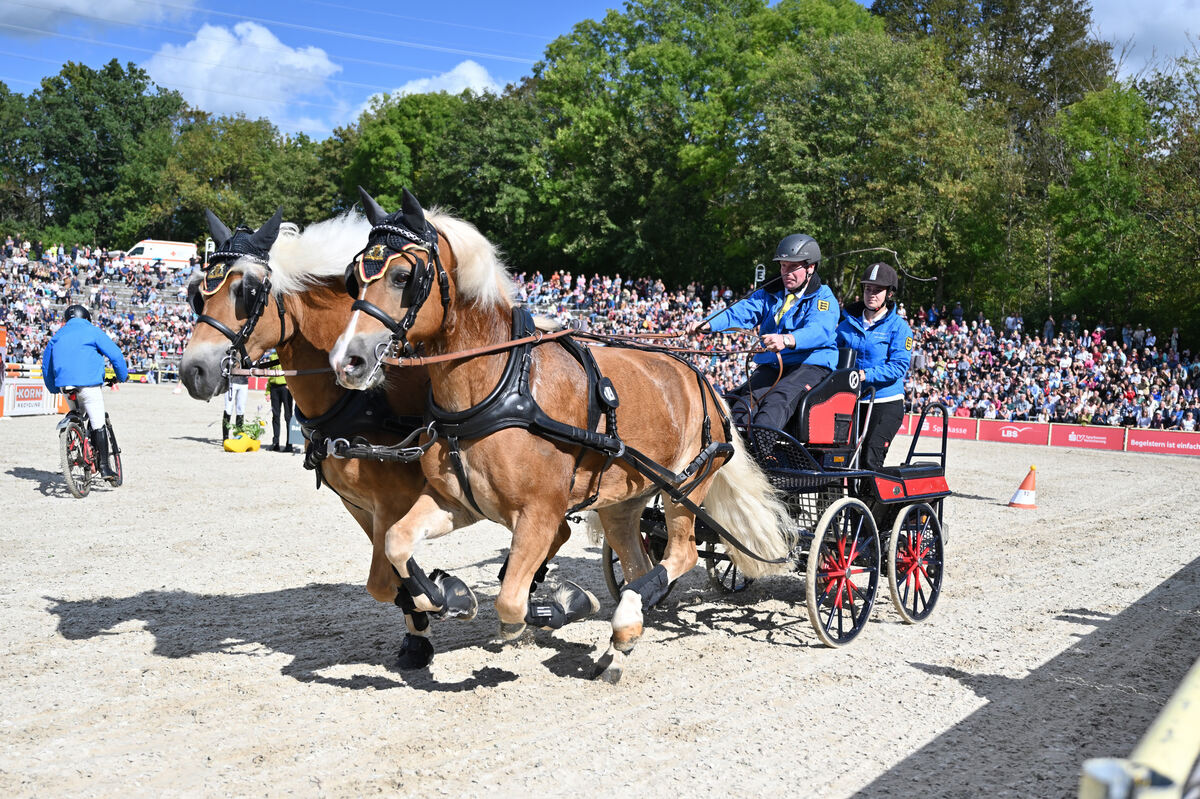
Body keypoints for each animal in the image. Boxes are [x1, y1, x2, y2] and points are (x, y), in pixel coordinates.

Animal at [178, 209, 571, 667]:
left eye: (247, 291)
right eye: (199, 294)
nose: (193, 371)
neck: (366, 398)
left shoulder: (393, 503)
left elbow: (384, 578)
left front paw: (448, 597)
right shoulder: (361, 507)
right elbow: (390, 579)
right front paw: (420, 630)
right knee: (558, 534)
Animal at [333, 188, 792, 676]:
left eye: (403, 276)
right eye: (352, 279)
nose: (347, 361)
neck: (501, 384)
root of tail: (704, 379)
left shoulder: (540, 512)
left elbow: (511, 601)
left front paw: (564, 605)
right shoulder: (456, 502)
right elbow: (398, 542)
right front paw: (447, 595)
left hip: (685, 487)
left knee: (681, 553)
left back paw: (624, 619)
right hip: (622, 502)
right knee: (637, 562)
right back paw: (624, 635)